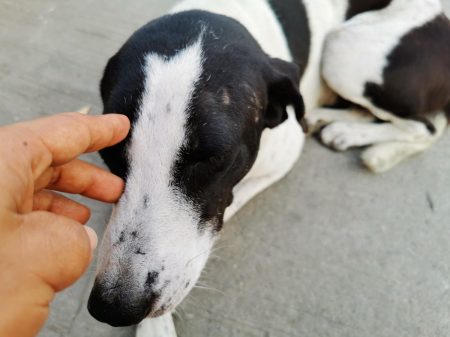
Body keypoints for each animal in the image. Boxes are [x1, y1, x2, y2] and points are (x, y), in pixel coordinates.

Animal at [87, 0, 432, 334]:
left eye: (214, 158)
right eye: (109, 151)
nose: (113, 308)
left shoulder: (281, 158)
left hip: (344, 53)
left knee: (427, 127)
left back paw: (370, 146)